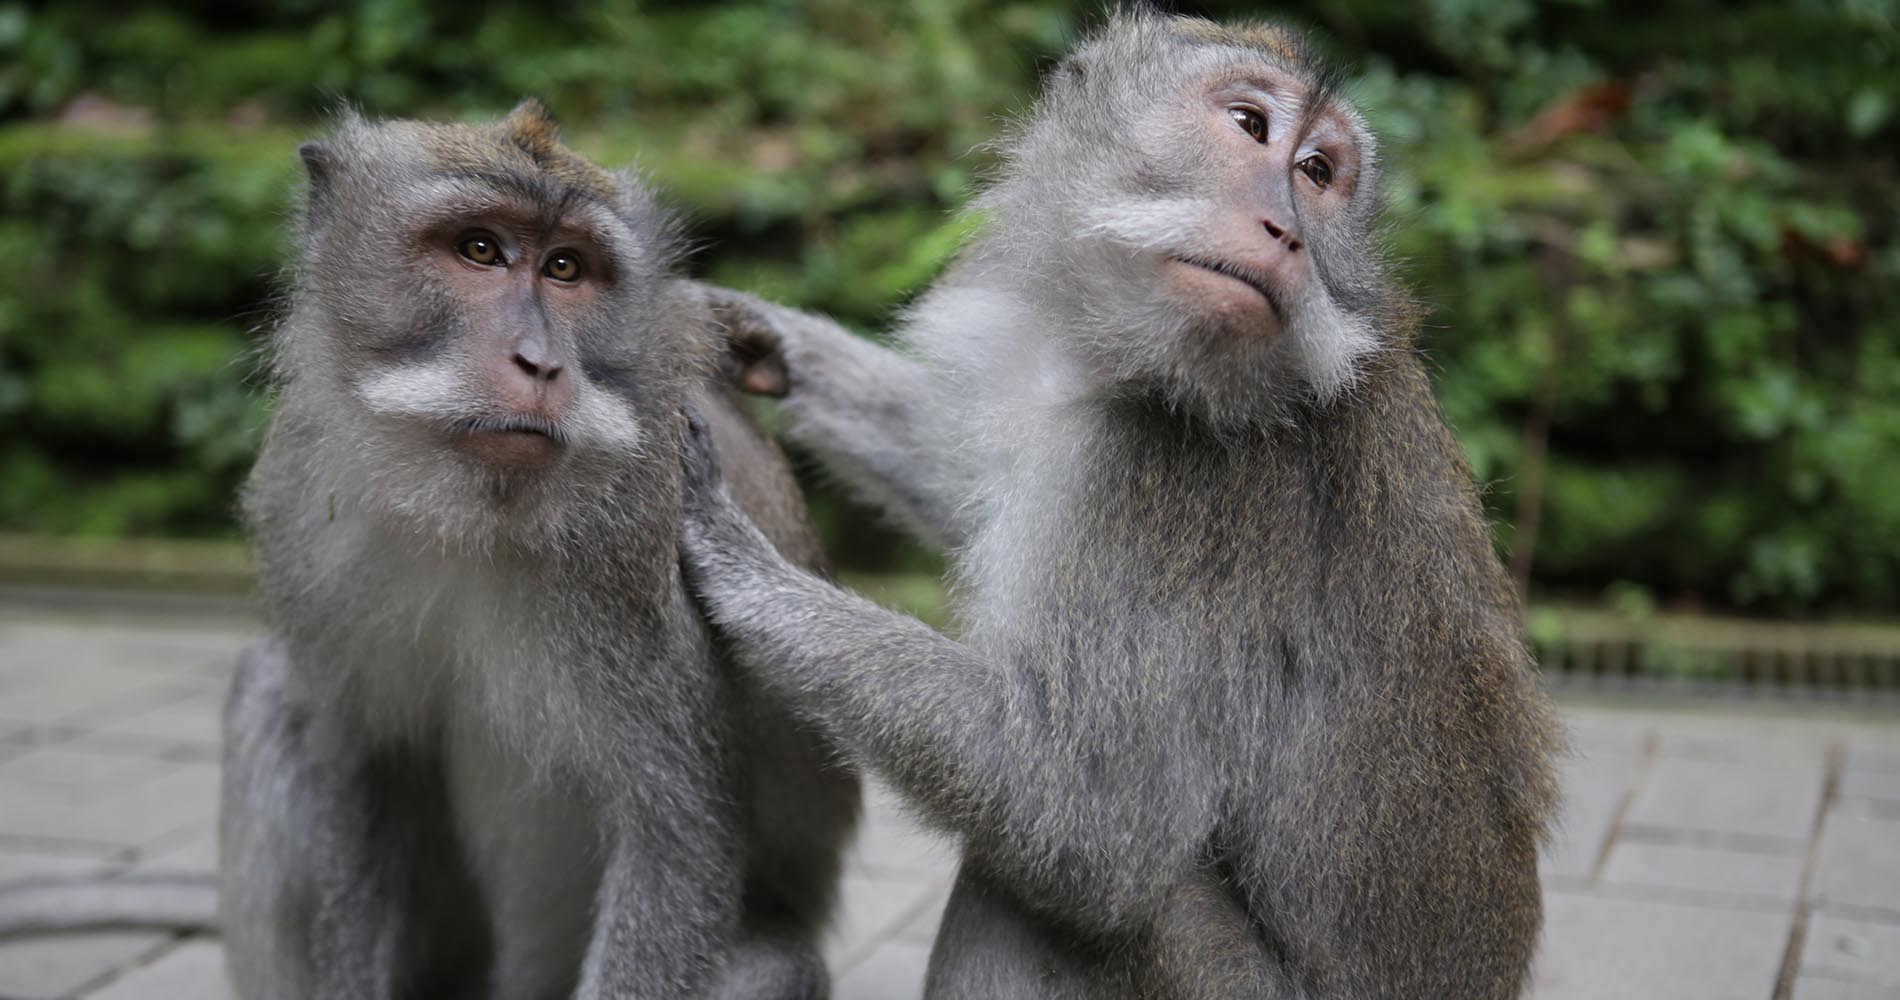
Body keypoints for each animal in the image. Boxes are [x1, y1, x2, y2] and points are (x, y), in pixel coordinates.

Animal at [215, 104, 855, 1000]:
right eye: (480, 249)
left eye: (565, 268)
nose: (541, 362)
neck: (465, 512)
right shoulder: (301, 499)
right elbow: (358, 760)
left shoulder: (642, 552)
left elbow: (677, 832)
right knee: (272, 691)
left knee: (778, 969)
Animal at [684, 13, 1558, 1000]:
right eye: (1251, 126)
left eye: (1317, 173)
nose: (1285, 229)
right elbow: (960, 475)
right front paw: (762, 338)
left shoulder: (1177, 486)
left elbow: (1096, 823)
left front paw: (735, 560)